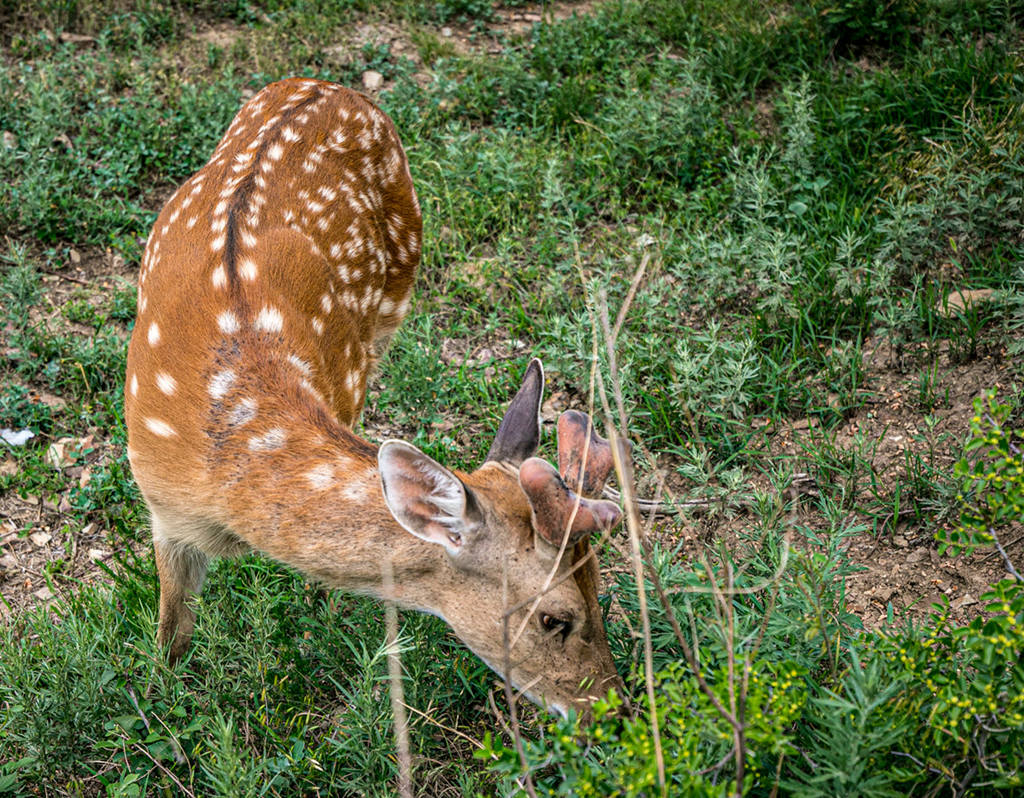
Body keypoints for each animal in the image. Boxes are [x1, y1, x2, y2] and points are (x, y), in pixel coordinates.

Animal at [128, 77, 622, 721]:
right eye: (553, 617)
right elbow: (172, 633)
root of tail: (328, 87)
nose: (614, 709)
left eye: (598, 582)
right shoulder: (161, 506)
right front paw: (158, 702)